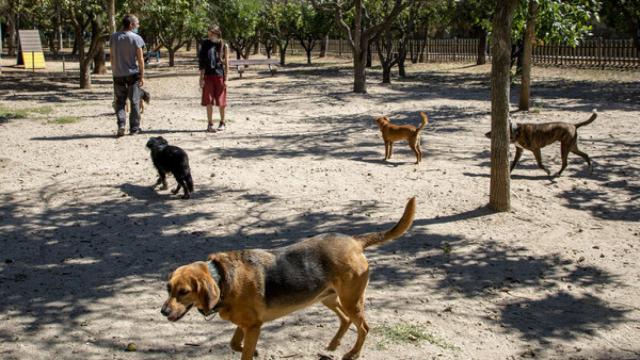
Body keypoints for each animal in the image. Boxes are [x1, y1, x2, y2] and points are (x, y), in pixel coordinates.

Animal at [162, 198, 418, 358]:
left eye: (184, 292)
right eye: (168, 288)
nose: (163, 312)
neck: (222, 277)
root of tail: (355, 242)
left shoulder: (253, 327)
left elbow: (243, 352)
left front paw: (250, 351)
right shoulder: (248, 325)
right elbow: (234, 343)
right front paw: (251, 350)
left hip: (350, 300)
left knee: (363, 327)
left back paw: (352, 353)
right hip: (328, 298)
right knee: (346, 320)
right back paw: (334, 344)